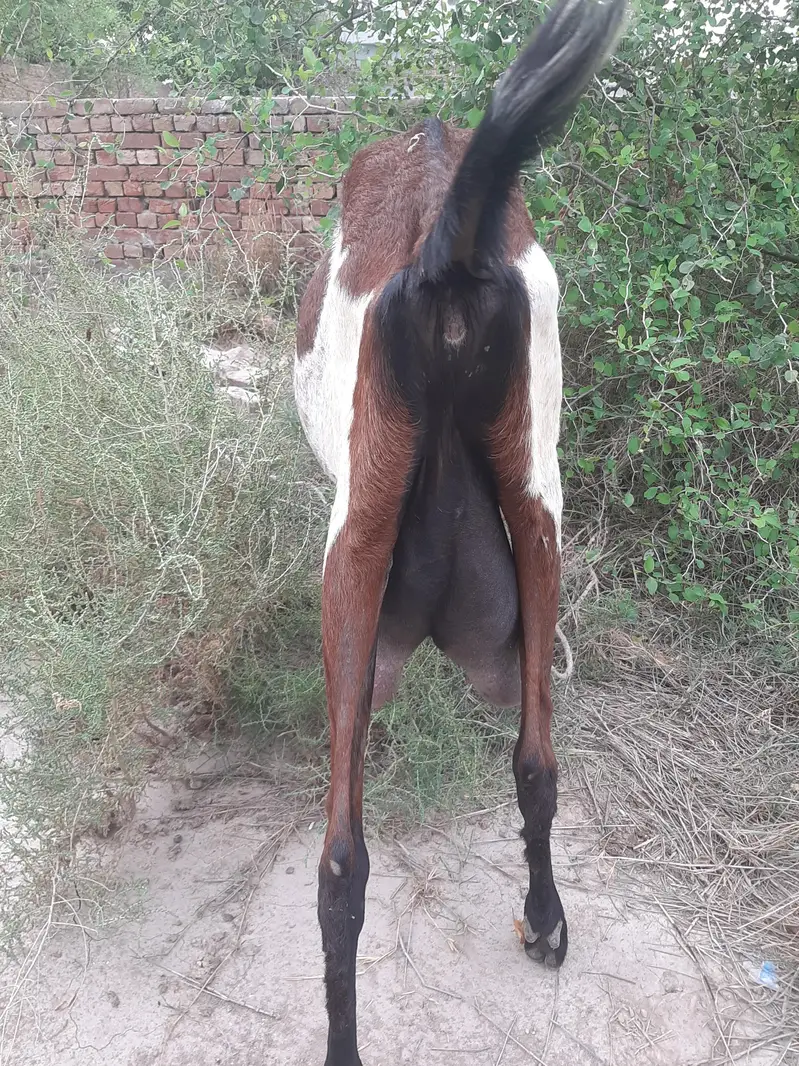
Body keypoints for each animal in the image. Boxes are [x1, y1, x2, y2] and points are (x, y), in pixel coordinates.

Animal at [294, 1, 626, 1061]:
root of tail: (452, 247)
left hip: (353, 557)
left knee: (340, 862)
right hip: (535, 523)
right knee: (537, 761)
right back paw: (547, 920)